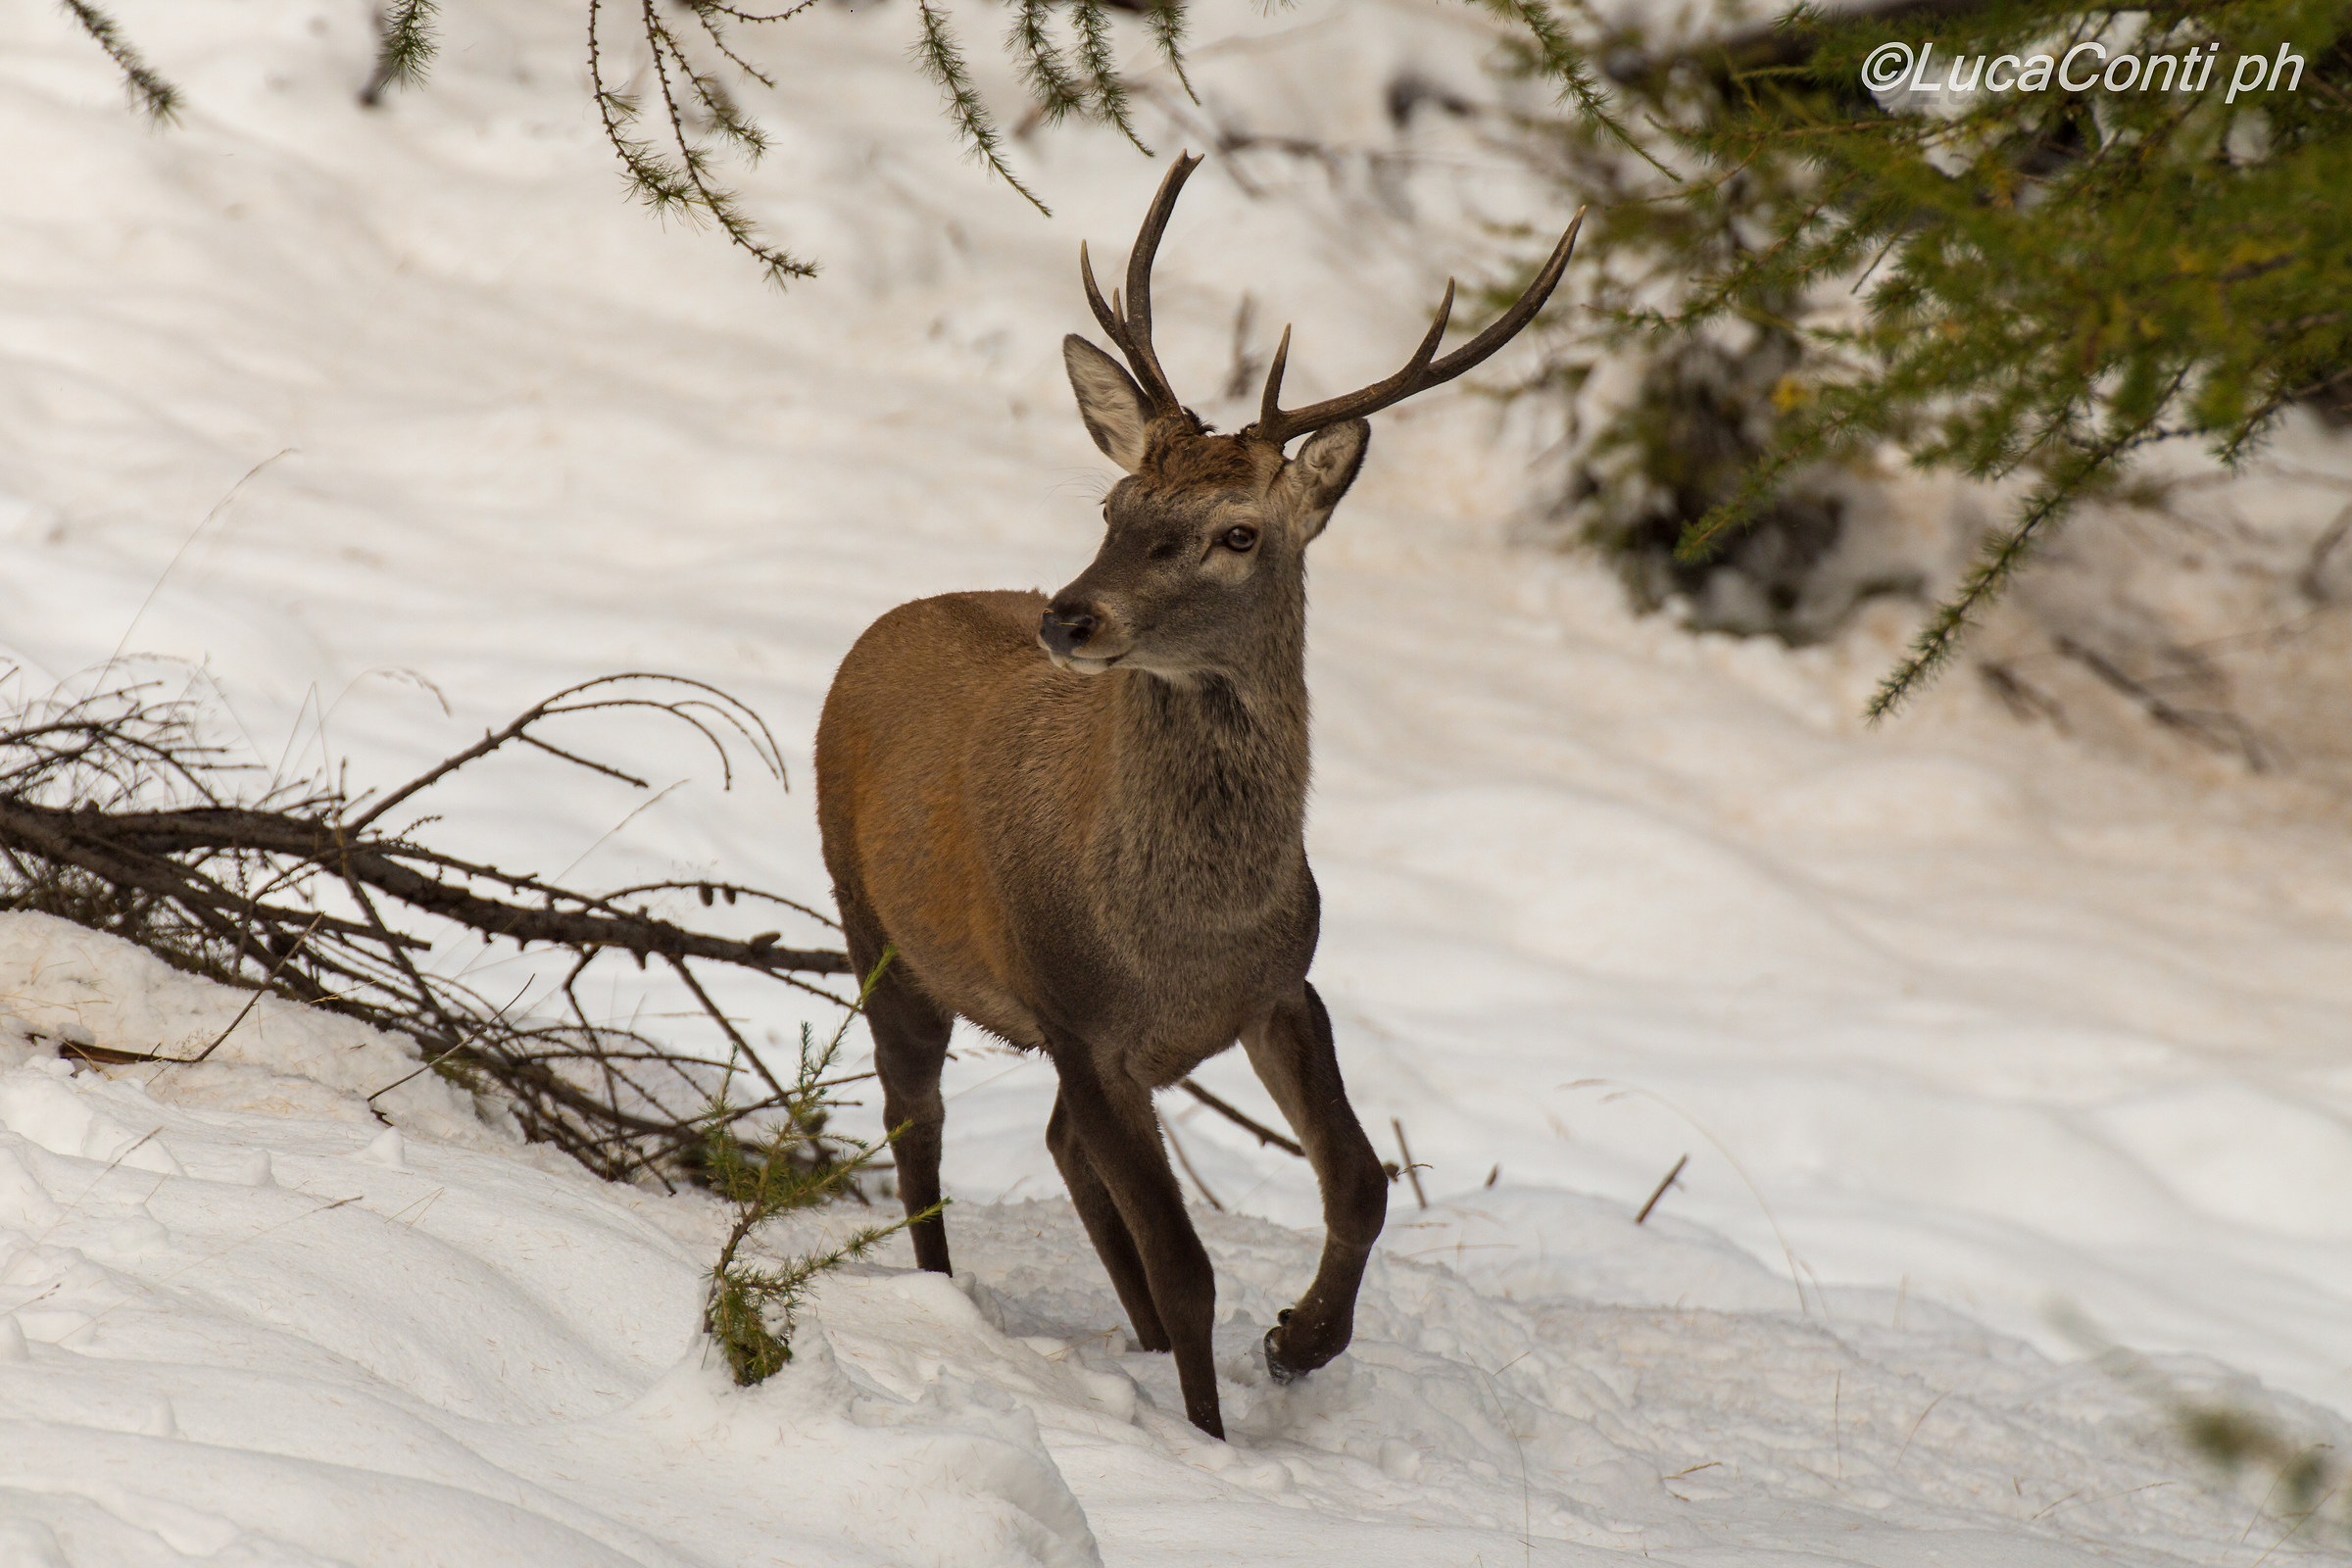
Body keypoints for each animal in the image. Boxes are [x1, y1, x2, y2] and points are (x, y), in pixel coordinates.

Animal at [814, 153, 1581, 1439]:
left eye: (1236, 531)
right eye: (1114, 507)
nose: (1070, 617)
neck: (1184, 932)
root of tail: (889, 619)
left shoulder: (1280, 985)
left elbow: (1363, 1182)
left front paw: (1302, 1341)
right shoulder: (1079, 1015)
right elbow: (1190, 1267)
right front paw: (1214, 1435)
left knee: (1058, 1146)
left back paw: (1128, 1336)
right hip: (877, 927)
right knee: (917, 1124)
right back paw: (942, 1293)